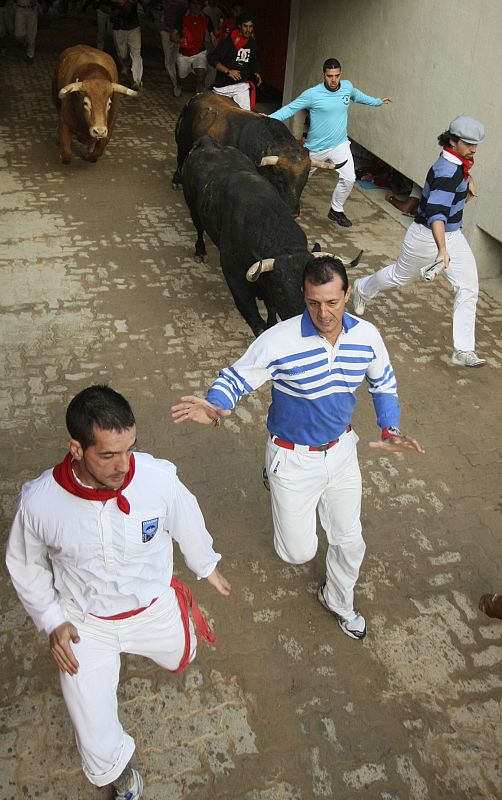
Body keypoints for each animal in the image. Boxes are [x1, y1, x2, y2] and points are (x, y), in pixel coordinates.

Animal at [182, 138, 362, 338]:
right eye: (281, 289)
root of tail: (208, 143)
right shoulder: (237, 282)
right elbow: (257, 323)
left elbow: (271, 314)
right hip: (192, 205)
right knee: (199, 227)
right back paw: (200, 251)